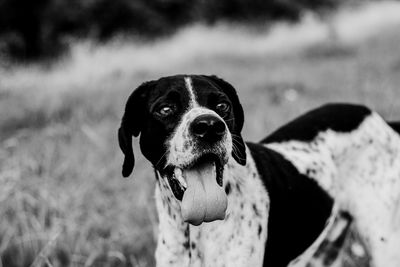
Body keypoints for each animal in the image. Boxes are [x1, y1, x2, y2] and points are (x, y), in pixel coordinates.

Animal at [118, 74, 400, 266]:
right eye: (165, 109)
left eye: (222, 106)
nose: (209, 126)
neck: (194, 234)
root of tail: (381, 120)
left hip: (384, 243)